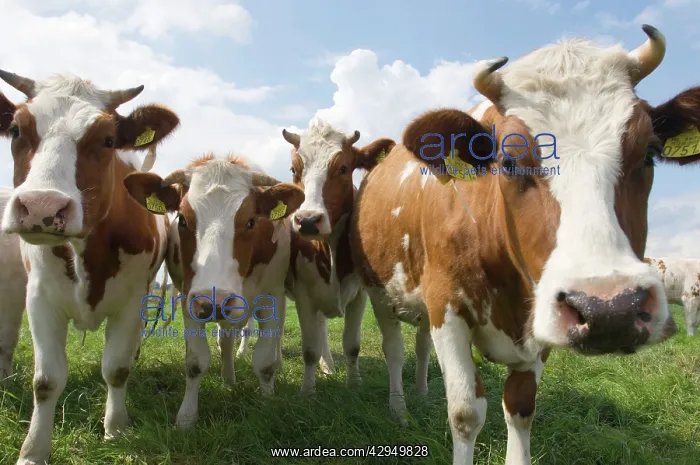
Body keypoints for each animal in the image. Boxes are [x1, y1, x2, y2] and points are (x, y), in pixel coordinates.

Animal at [0, 69, 180, 465]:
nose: (42, 206)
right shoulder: (40, 299)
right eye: (17, 130)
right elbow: (47, 380)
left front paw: (115, 428)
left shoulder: (132, 301)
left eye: (108, 139)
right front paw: (33, 449)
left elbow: (116, 368)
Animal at [123, 154, 304, 428]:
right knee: (226, 339)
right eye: (183, 220)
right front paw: (186, 416)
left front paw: (269, 401)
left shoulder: (272, 297)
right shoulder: (189, 299)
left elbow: (264, 361)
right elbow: (195, 361)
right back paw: (229, 380)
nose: (214, 302)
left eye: (251, 221)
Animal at [280, 121, 397, 393]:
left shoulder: (360, 294)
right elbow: (309, 349)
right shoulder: (303, 294)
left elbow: (351, 344)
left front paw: (353, 383)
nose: (308, 220)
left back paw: (329, 367)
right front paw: (307, 391)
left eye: (343, 168)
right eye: (294, 169)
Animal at [349, 25, 698, 464]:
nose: (609, 309)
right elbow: (465, 412)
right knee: (394, 349)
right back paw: (400, 409)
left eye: (650, 152)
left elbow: (520, 406)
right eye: (509, 161)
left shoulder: (539, 319)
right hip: (380, 291)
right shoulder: (446, 303)